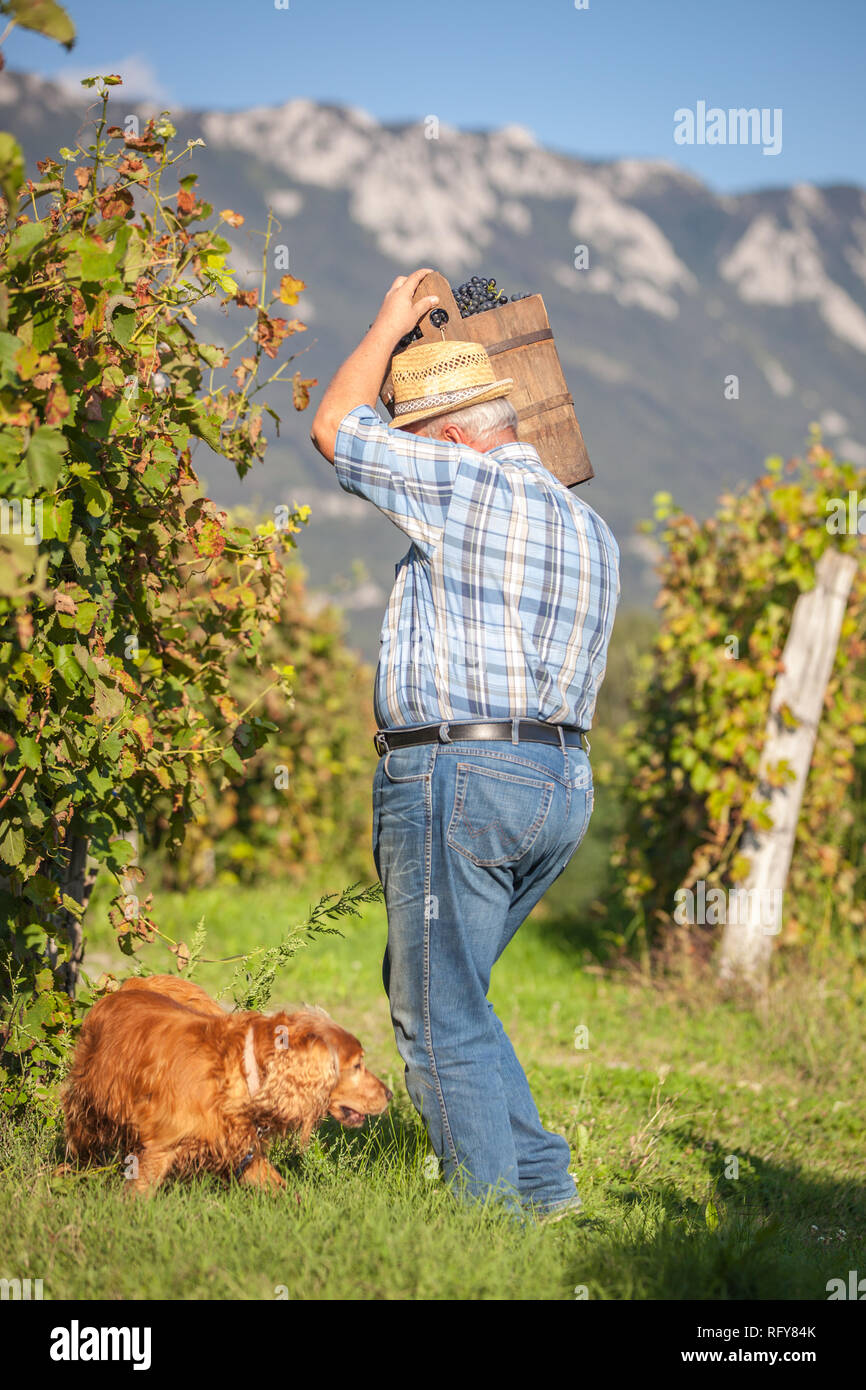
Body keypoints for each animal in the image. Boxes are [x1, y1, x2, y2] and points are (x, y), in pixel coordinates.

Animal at [64, 978, 391, 1195]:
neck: (244, 1071)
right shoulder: (160, 1146)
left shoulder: (243, 1151)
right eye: (358, 1065)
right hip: (87, 1105)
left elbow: (281, 1188)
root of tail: (125, 986)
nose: (389, 1094)